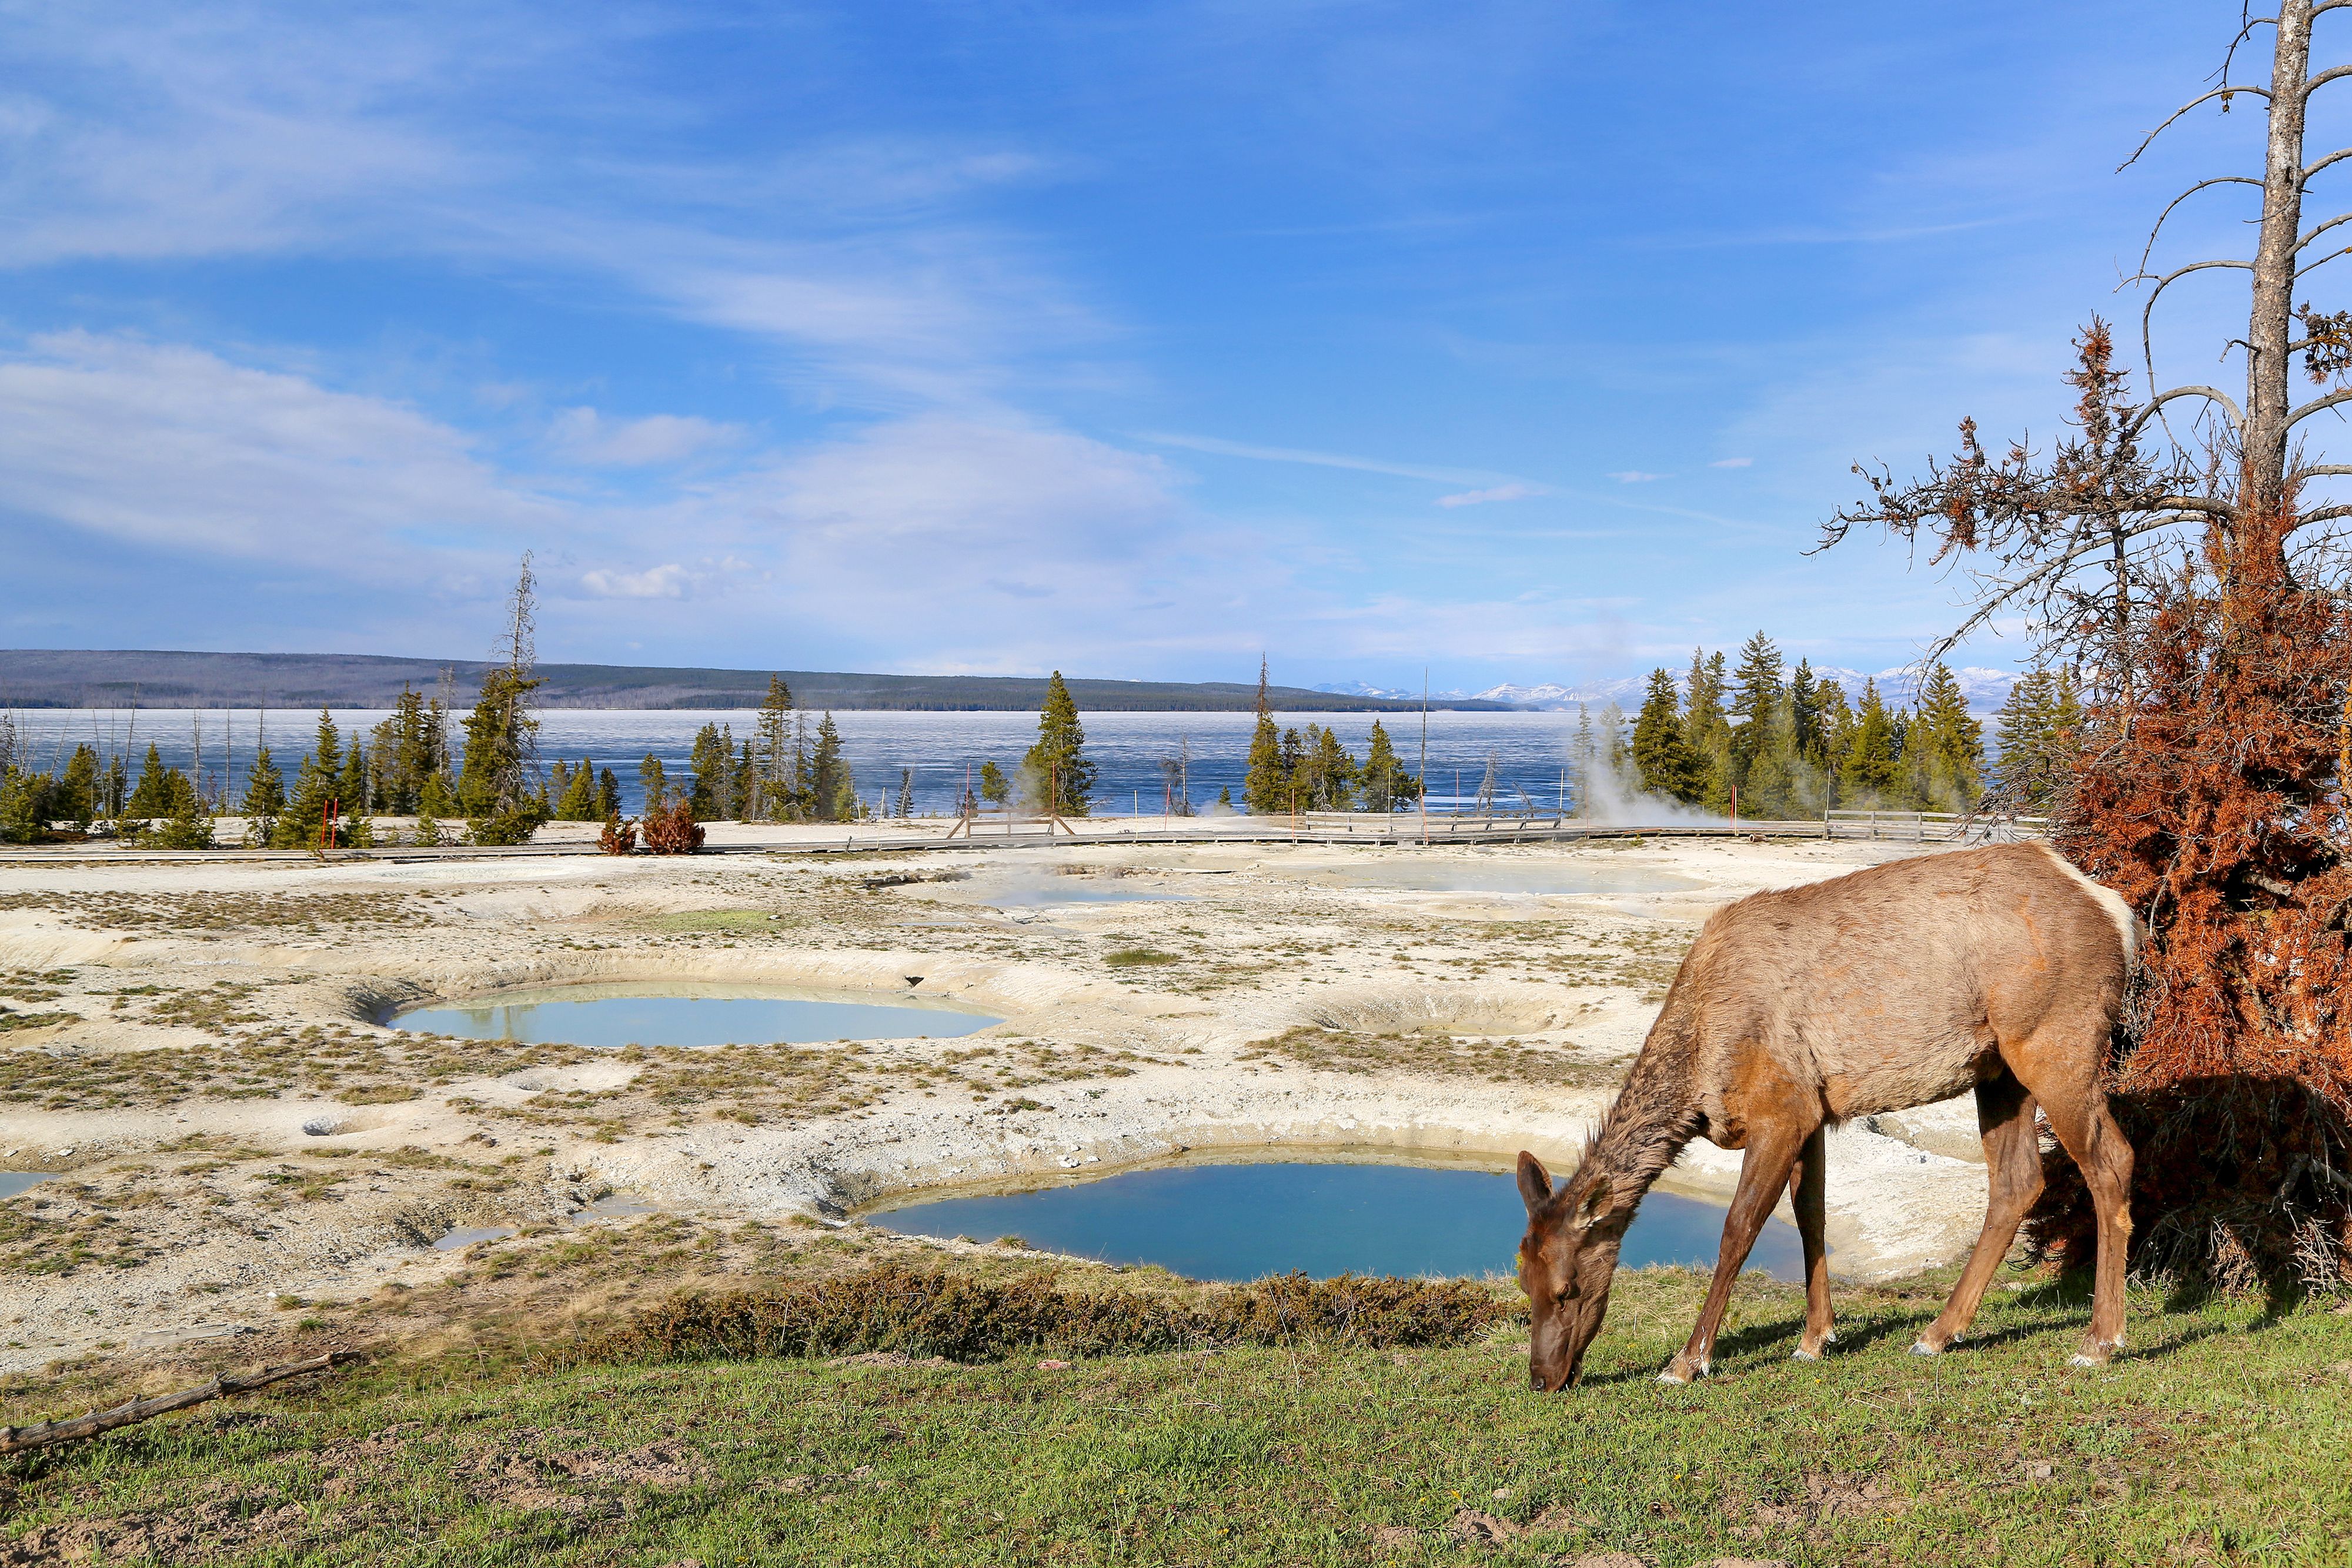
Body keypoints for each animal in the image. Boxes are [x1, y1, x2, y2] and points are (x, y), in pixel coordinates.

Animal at [1515, 841, 2145, 1392]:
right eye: (1525, 1283)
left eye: (1568, 1288)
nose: (1544, 1378)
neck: (1699, 1075)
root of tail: (2118, 913)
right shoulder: (1811, 1111)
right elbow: (1810, 1214)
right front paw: (1817, 1337)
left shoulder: (1780, 1106)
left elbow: (1738, 1229)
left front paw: (1688, 1361)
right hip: (2000, 1070)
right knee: (2017, 1180)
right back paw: (1939, 1333)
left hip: (2055, 1037)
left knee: (2112, 1159)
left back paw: (2100, 1341)